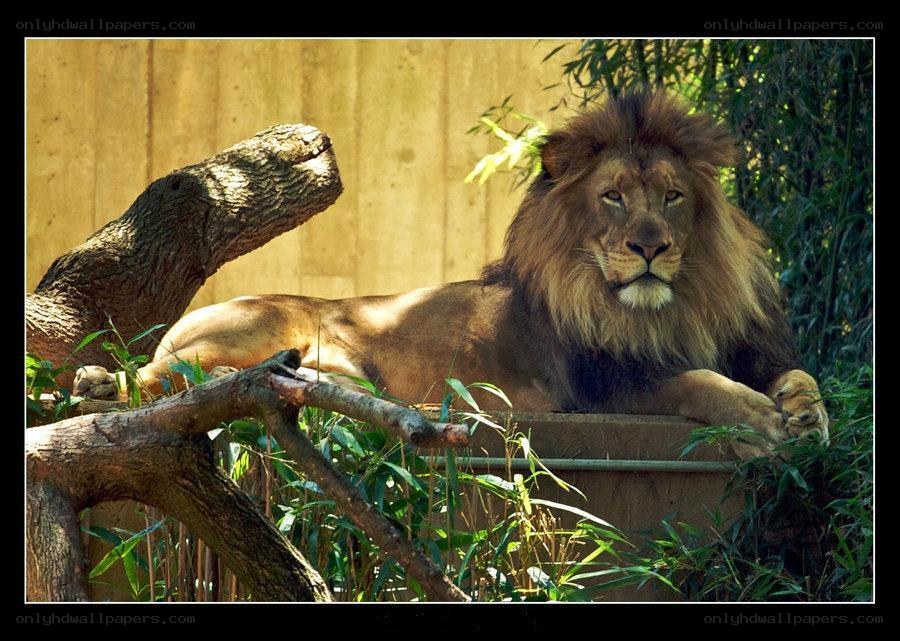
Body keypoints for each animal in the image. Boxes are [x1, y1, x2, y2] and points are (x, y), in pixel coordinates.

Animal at [75, 90, 828, 459]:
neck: (668, 306)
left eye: (671, 196)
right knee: (161, 383)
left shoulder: (748, 346)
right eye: (613, 196)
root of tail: (170, 331)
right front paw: (759, 417)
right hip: (266, 330)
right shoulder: (599, 386)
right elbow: (692, 381)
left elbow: (799, 374)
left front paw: (805, 412)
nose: (652, 246)